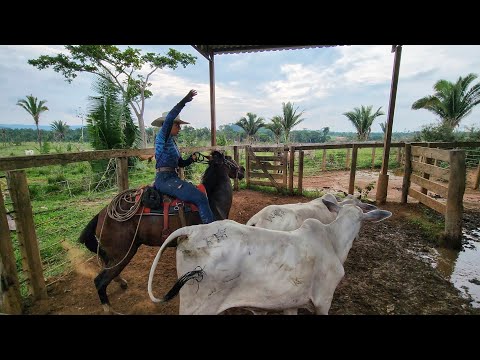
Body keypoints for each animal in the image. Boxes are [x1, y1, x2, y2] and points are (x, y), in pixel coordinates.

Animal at [79, 149, 244, 312]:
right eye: (229, 158)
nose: (242, 170)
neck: (212, 201)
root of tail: (102, 214)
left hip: (114, 255)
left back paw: (121, 282)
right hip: (122, 254)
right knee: (100, 281)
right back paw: (109, 308)